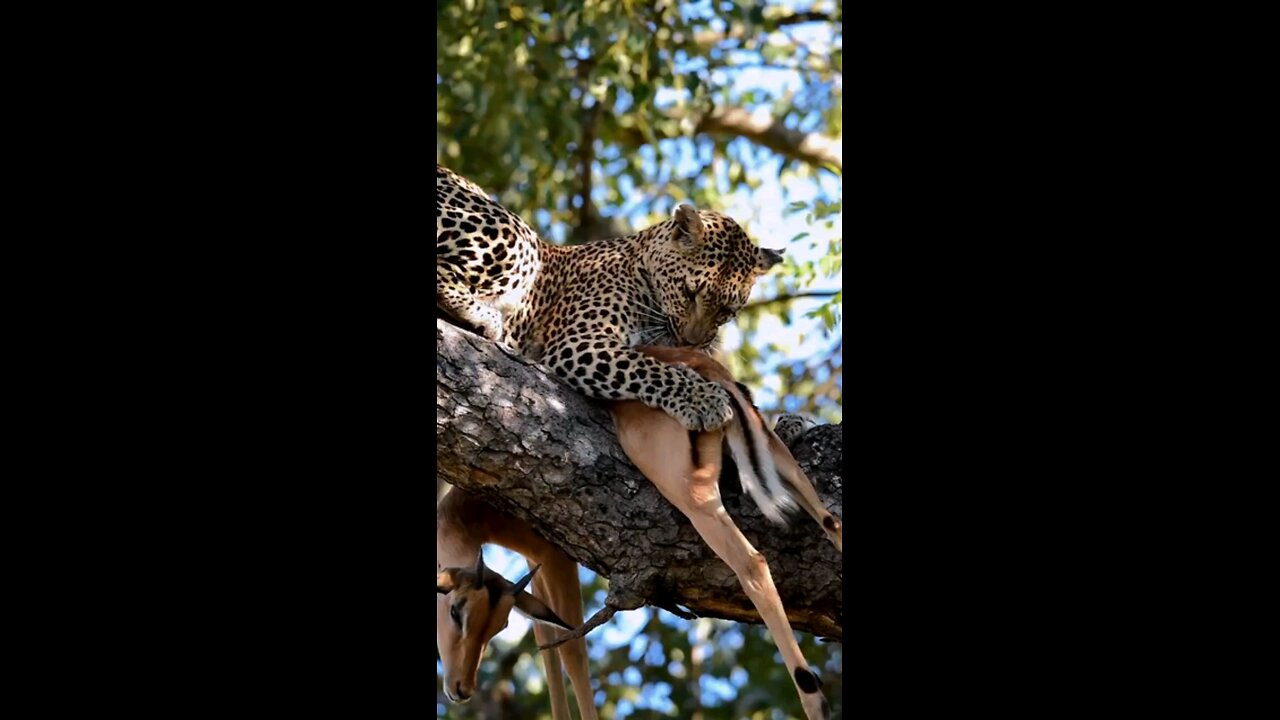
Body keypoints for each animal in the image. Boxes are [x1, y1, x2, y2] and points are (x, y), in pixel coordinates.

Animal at [435, 165, 783, 427]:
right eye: (689, 292)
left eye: (727, 311)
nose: (691, 343)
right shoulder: (578, 341)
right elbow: (646, 368)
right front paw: (703, 399)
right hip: (517, 239)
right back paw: (486, 318)